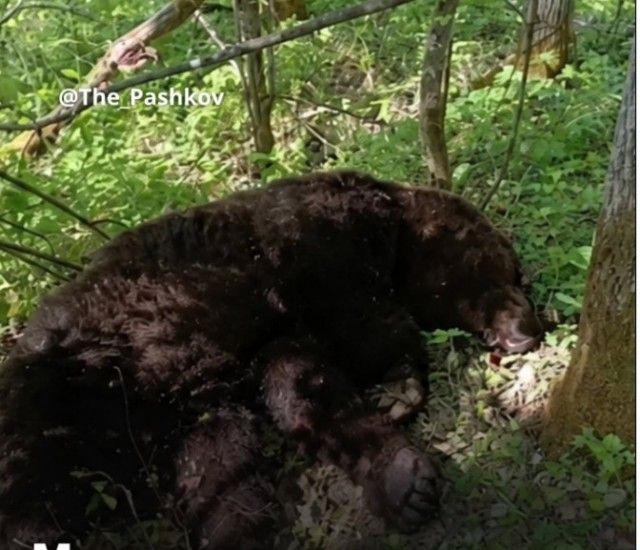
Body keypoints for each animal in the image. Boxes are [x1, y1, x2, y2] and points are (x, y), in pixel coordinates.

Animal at [0, 170, 543, 549]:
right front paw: (400, 395)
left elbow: (296, 400)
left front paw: (402, 482)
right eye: (504, 266)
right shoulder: (315, 255)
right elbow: (365, 334)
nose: (525, 330)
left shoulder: (239, 368)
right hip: (53, 394)